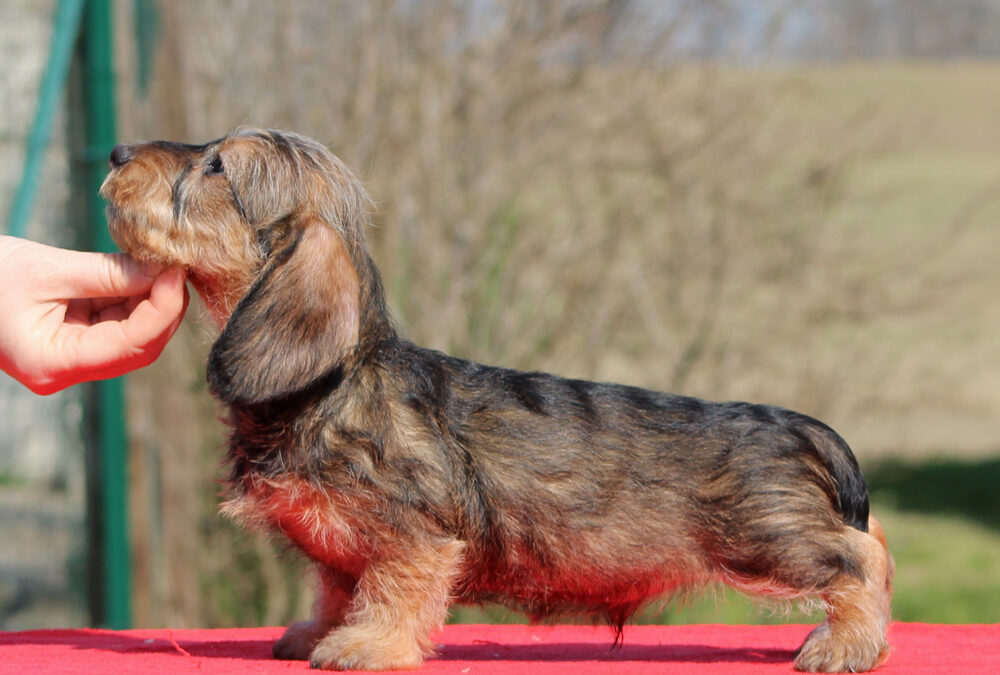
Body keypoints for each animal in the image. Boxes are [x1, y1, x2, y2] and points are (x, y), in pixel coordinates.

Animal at [101, 127, 896, 672]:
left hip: (769, 537)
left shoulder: (414, 533)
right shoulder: (339, 551)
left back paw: (846, 644)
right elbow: (335, 587)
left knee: (863, 556)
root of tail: (801, 429)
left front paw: (366, 645)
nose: (114, 153)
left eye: (216, 166)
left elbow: (391, 588)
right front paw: (317, 633)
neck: (330, 384)